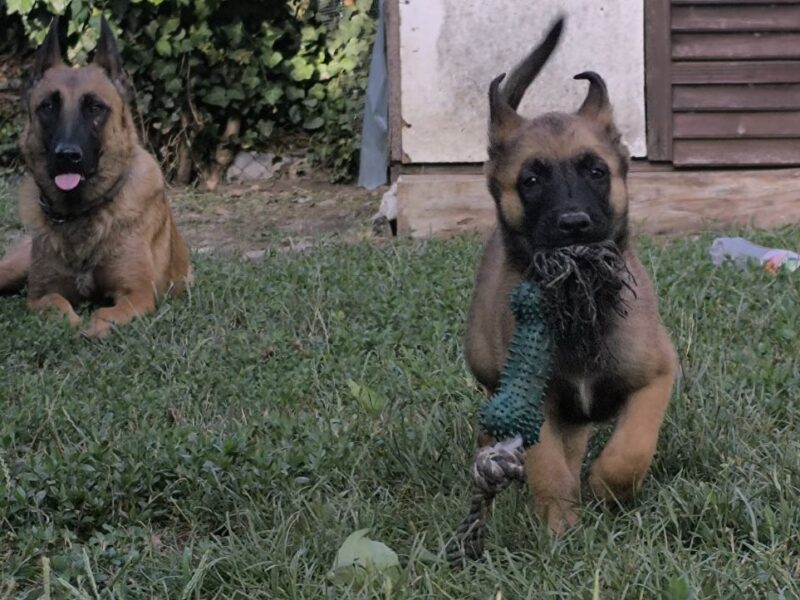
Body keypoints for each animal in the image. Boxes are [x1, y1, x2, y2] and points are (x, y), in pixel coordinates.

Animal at [0, 17, 191, 338]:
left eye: (95, 107)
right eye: (48, 106)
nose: (67, 155)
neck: (81, 212)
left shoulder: (137, 295)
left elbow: (105, 314)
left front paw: (94, 328)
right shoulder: (40, 295)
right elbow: (58, 305)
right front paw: (73, 323)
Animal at [466, 18, 680, 532]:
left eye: (596, 171)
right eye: (531, 180)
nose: (574, 225)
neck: (581, 303)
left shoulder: (657, 376)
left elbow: (632, 448)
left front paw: (606, 488)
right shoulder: (535, 402)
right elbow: (548, 467)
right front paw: (560, 525)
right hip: (486, 364)